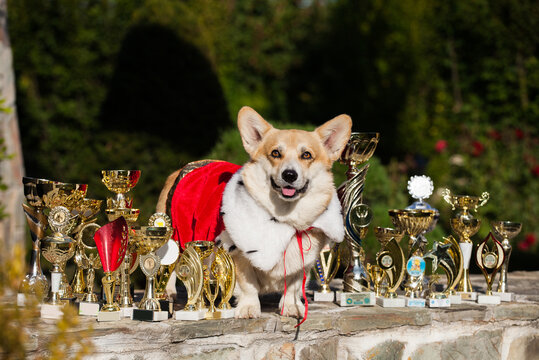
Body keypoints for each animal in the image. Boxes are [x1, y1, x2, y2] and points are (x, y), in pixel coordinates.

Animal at [157, 106, 350, 318]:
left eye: (306, 155)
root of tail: (185, 166)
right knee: (170, 265)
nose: (289, 175)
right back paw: (167, 293)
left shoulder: (302, 264)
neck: (285, 219)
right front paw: (249, 308)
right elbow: (247, 285)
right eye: (275, 153)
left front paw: (291, 307)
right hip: (172, 236)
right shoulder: (237, 257)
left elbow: (293, 286)